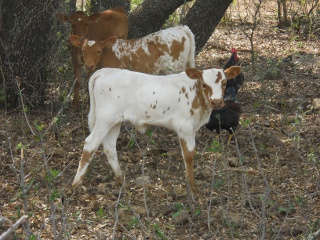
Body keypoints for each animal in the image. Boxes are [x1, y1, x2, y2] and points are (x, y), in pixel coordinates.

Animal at [72, 65, 240, 191]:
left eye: (224, 83)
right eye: (205, 84)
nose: (216, 102)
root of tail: (104, 71)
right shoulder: (185, 127)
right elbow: (188, 155)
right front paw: (192, 188)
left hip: (114, 121)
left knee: (109, 147)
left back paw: (120, 179)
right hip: (105, 119)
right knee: (90, 143)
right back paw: (76, 183)